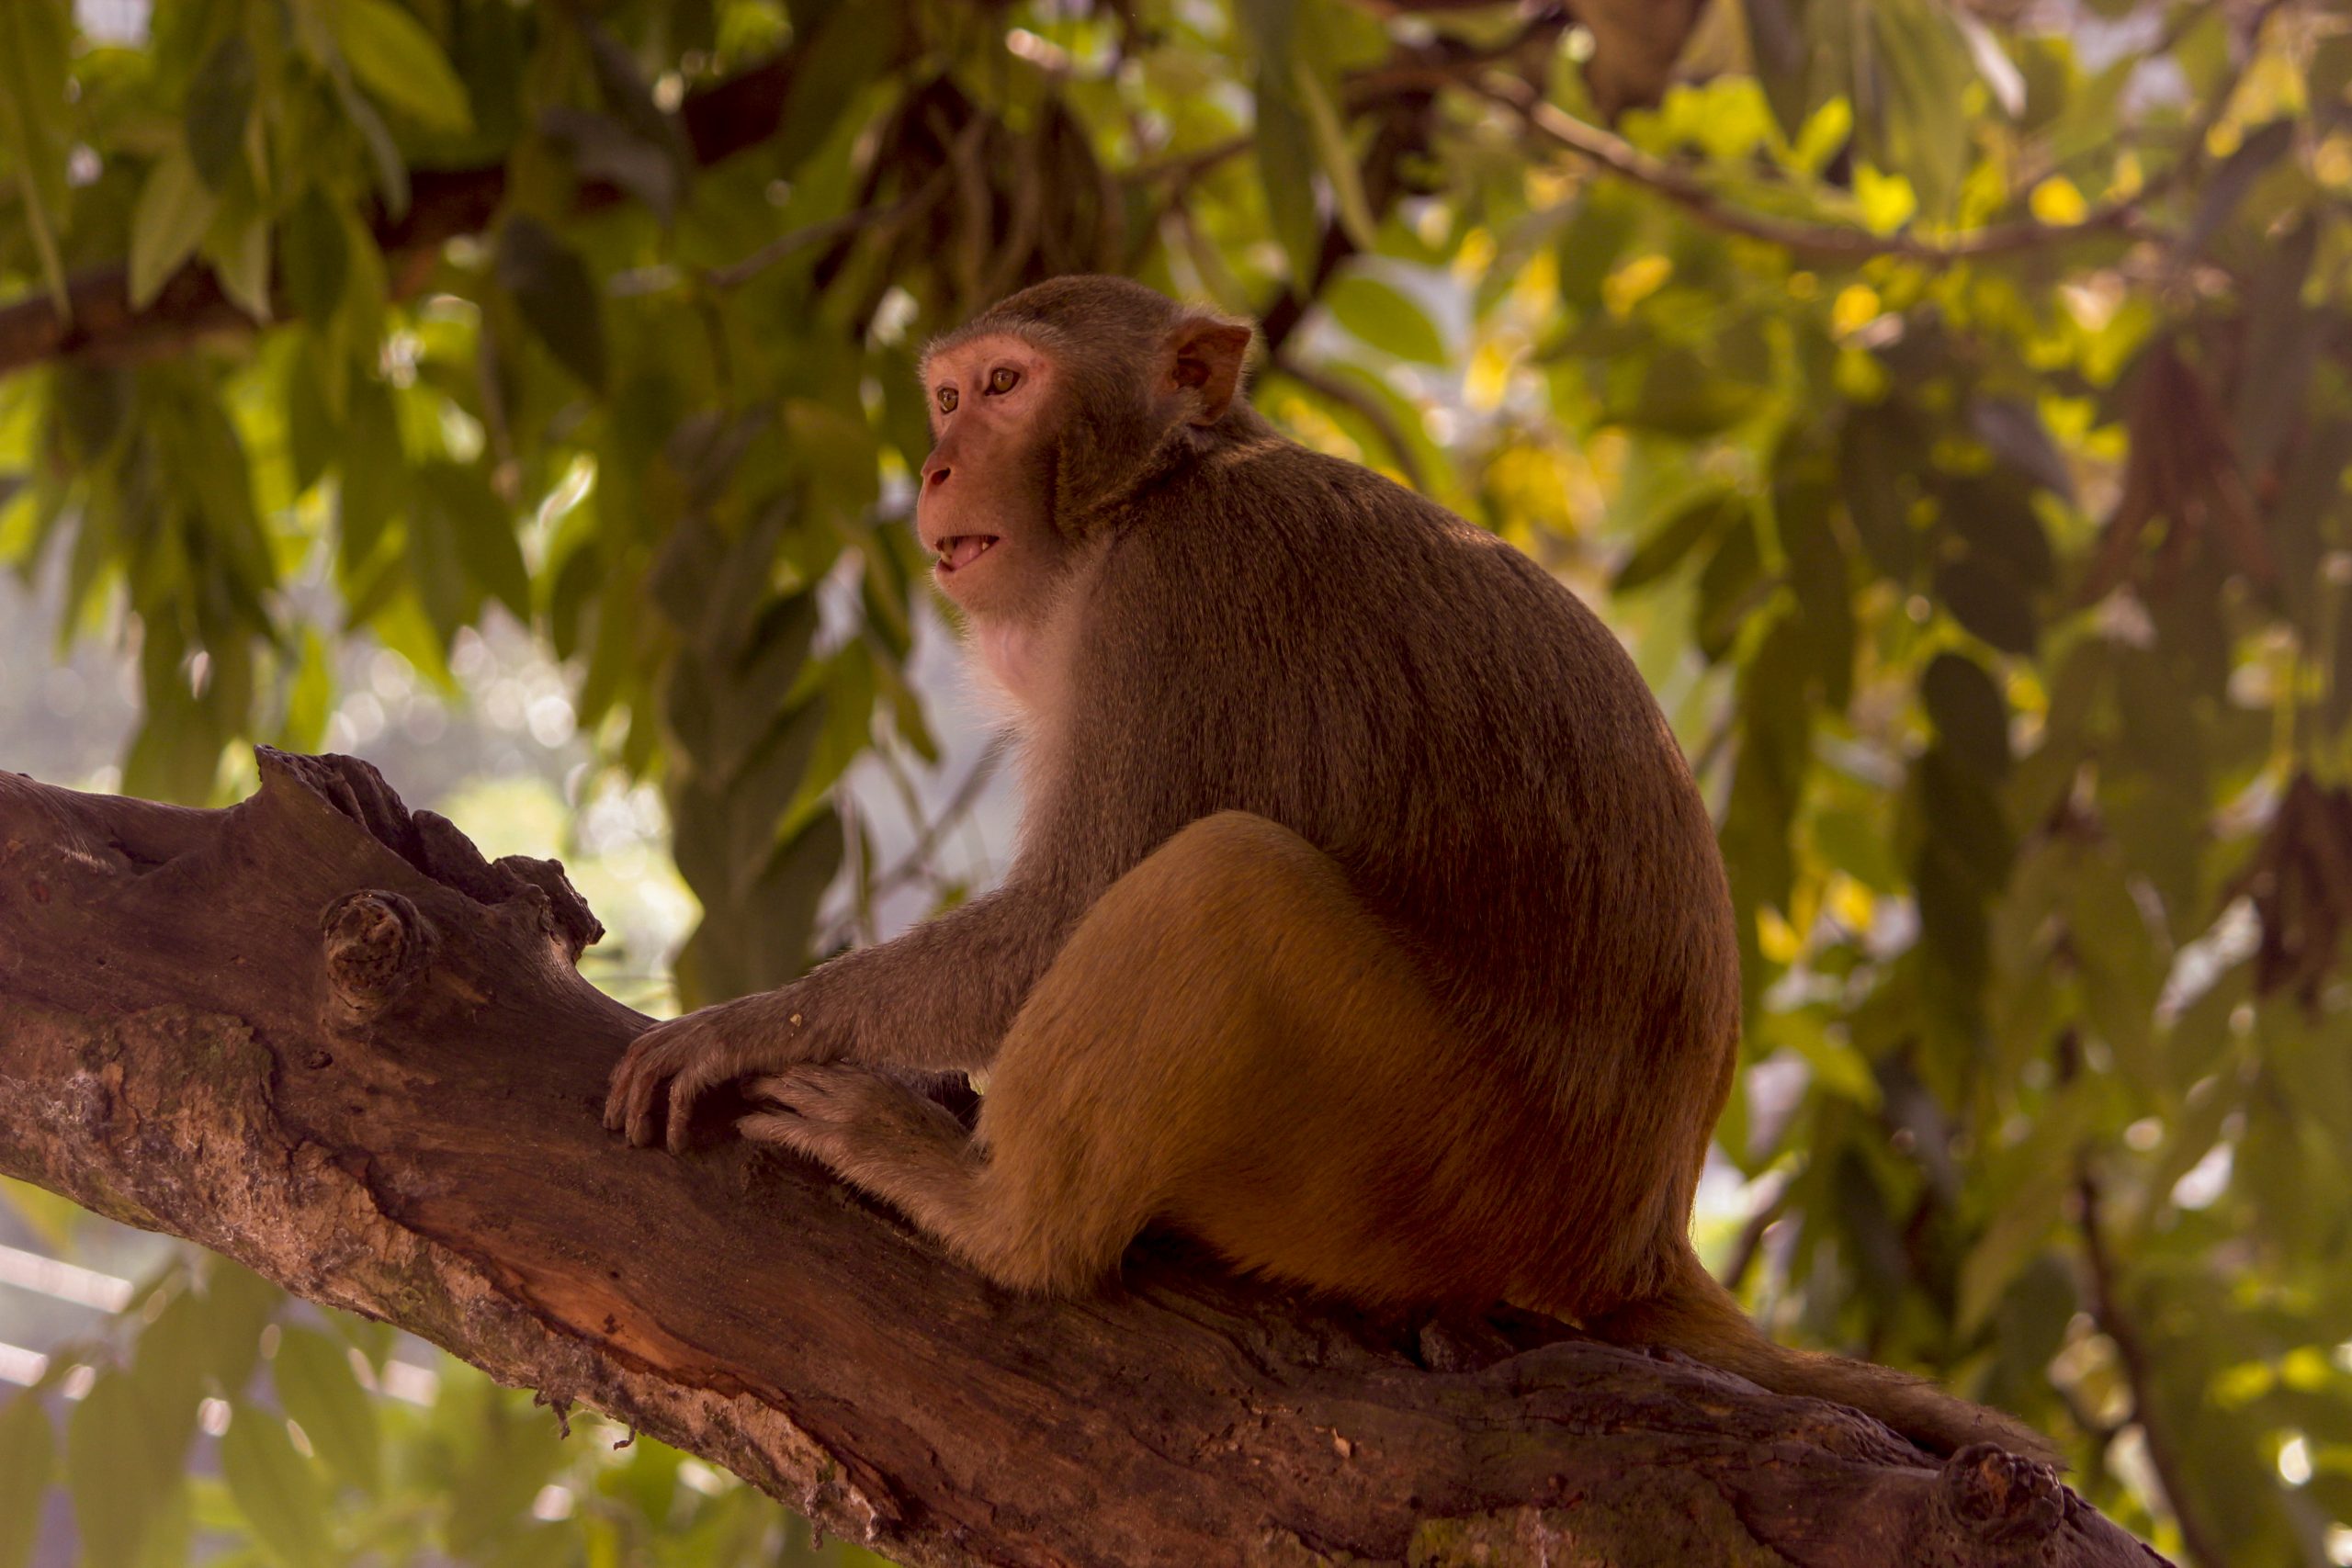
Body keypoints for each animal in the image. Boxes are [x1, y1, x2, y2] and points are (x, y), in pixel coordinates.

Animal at [606, 276, 2060, 1466]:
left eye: (1008, 387)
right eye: (951, 393)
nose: (938, 462)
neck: (1158, 488)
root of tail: (1635, 1240)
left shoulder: (1174, 600)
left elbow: (1067, 912)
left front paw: (746, 1027)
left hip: (1427, 1169)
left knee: (1224, 881)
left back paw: (998, 1218)